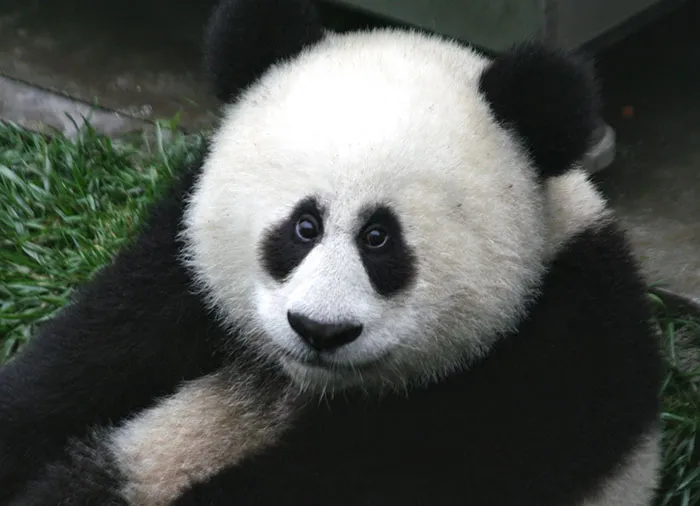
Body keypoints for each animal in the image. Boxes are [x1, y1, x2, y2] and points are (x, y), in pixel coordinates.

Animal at [0, 0, 662, 504]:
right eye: (303, 227)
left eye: (380, 240)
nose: (320, 330)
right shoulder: (178, 264)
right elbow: (87, 355)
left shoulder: (552, 360)